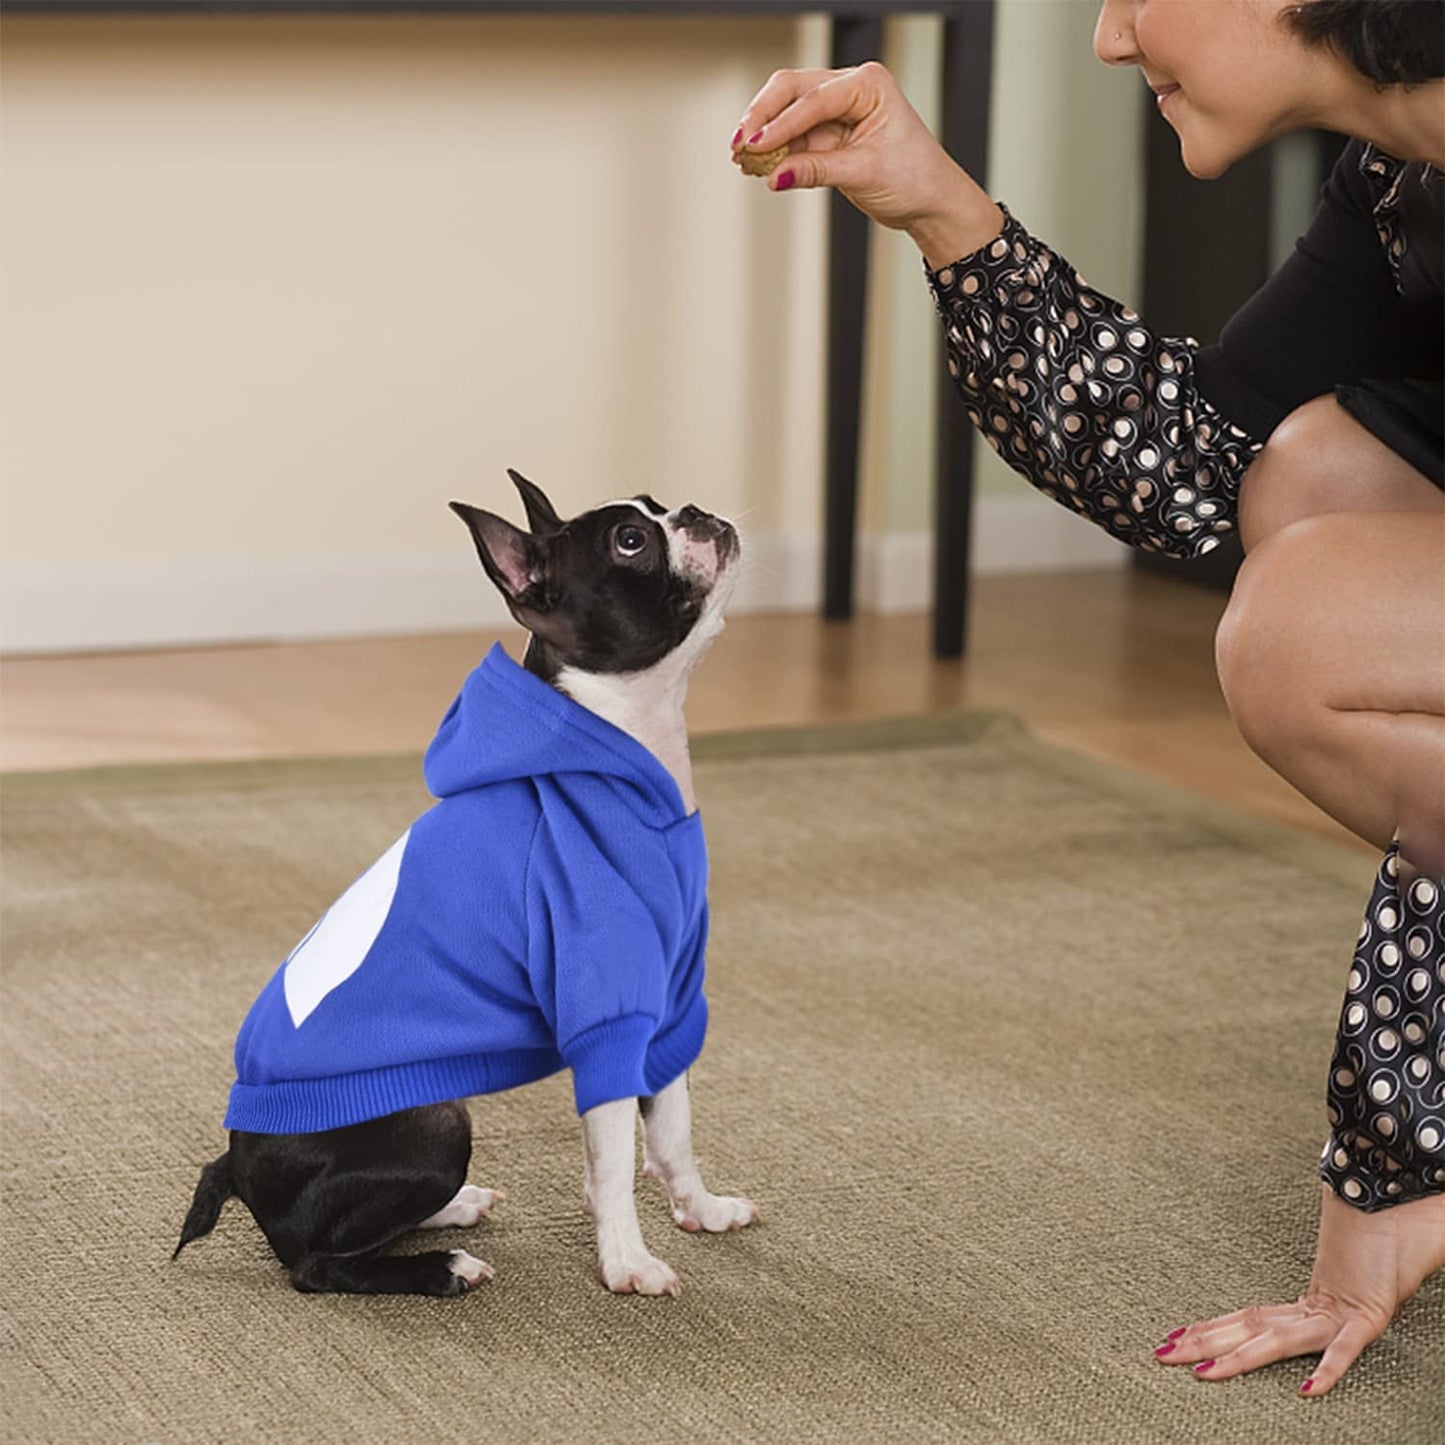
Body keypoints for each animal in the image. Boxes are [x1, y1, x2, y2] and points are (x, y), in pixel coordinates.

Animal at [171, 473, 757, 1300]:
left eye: (655, 504)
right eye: (629, 542)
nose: (696, 513)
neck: (626, 750)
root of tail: (237, 1163)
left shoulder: (666, 999)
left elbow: (670, 1130)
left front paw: (699, 1209)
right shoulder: (607, 1012)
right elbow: (616, 1157)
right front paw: (628, 1261)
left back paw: (453, 1208)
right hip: (438, 1122)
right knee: (317, 1263)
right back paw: (442, 1264)